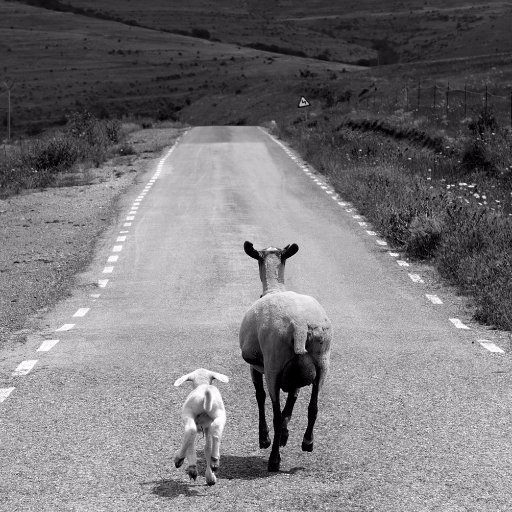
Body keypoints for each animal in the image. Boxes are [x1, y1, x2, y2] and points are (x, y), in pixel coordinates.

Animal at [238, 241, 330, 472]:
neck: (274, 288)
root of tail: (299, 325)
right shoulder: (296, 374)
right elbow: (292, 402)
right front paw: (285, 437)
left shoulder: (255, 367)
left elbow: (260, 397)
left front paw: (265, 439)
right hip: (322, 361)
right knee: (313, 407)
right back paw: (307, 442)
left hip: (274, 365)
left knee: (276, 413)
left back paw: (274, 459)